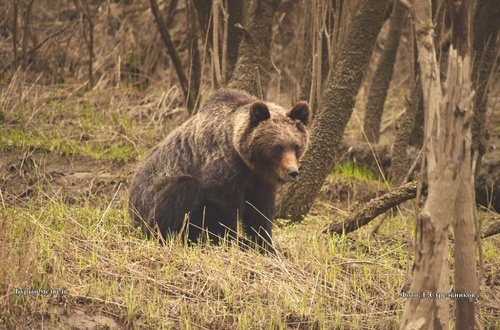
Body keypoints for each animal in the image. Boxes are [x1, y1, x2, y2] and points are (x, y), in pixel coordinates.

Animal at [127, 89, 310, 251]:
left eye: (296, 146)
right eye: (277, 147)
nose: (292, 172)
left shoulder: (259, 181)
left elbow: (260, 213)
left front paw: (266, 245)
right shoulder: (224, 169)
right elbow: (223, 211)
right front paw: (231, 242)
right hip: (150, 200)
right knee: (182, 189)